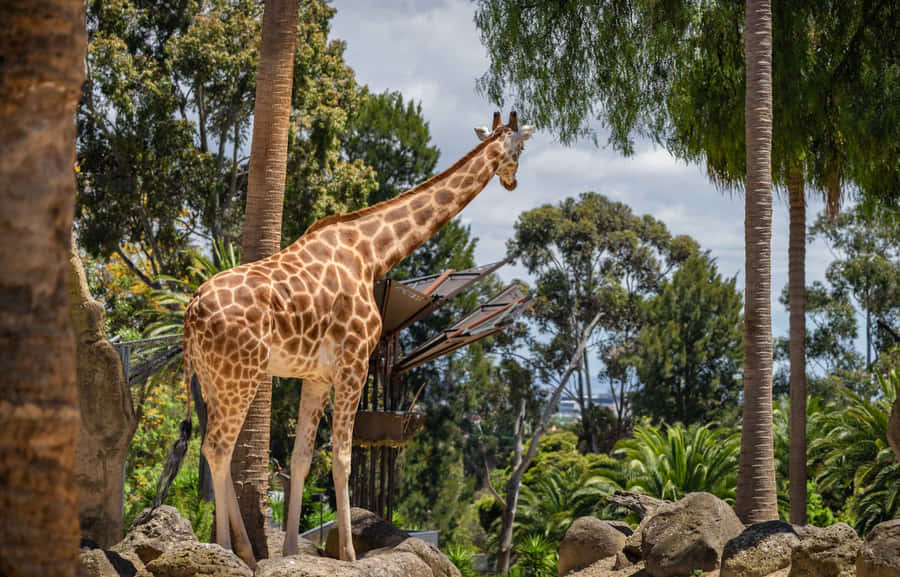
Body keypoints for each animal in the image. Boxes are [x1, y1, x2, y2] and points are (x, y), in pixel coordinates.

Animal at [182, 111, 534, 566]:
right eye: (520, 147)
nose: (513, 181)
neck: (372, 253)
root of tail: (191, 311)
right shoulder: (354, 365)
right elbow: (343, 459)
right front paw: (348, 553)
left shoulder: (315, 376)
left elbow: (301, 459)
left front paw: (292, 550)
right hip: (240, 375)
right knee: (217, 449)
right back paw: (225, 549)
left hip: (213, 378)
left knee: (214, 449)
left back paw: (243, 549)